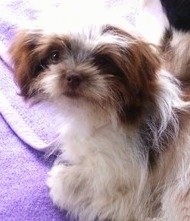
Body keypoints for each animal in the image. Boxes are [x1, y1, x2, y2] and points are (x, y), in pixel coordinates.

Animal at [9, 7, 190, 220]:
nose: (73, 76)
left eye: (103, 62)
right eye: (54, 56)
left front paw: (60, 184)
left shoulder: (119, 170)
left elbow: (74, 183)